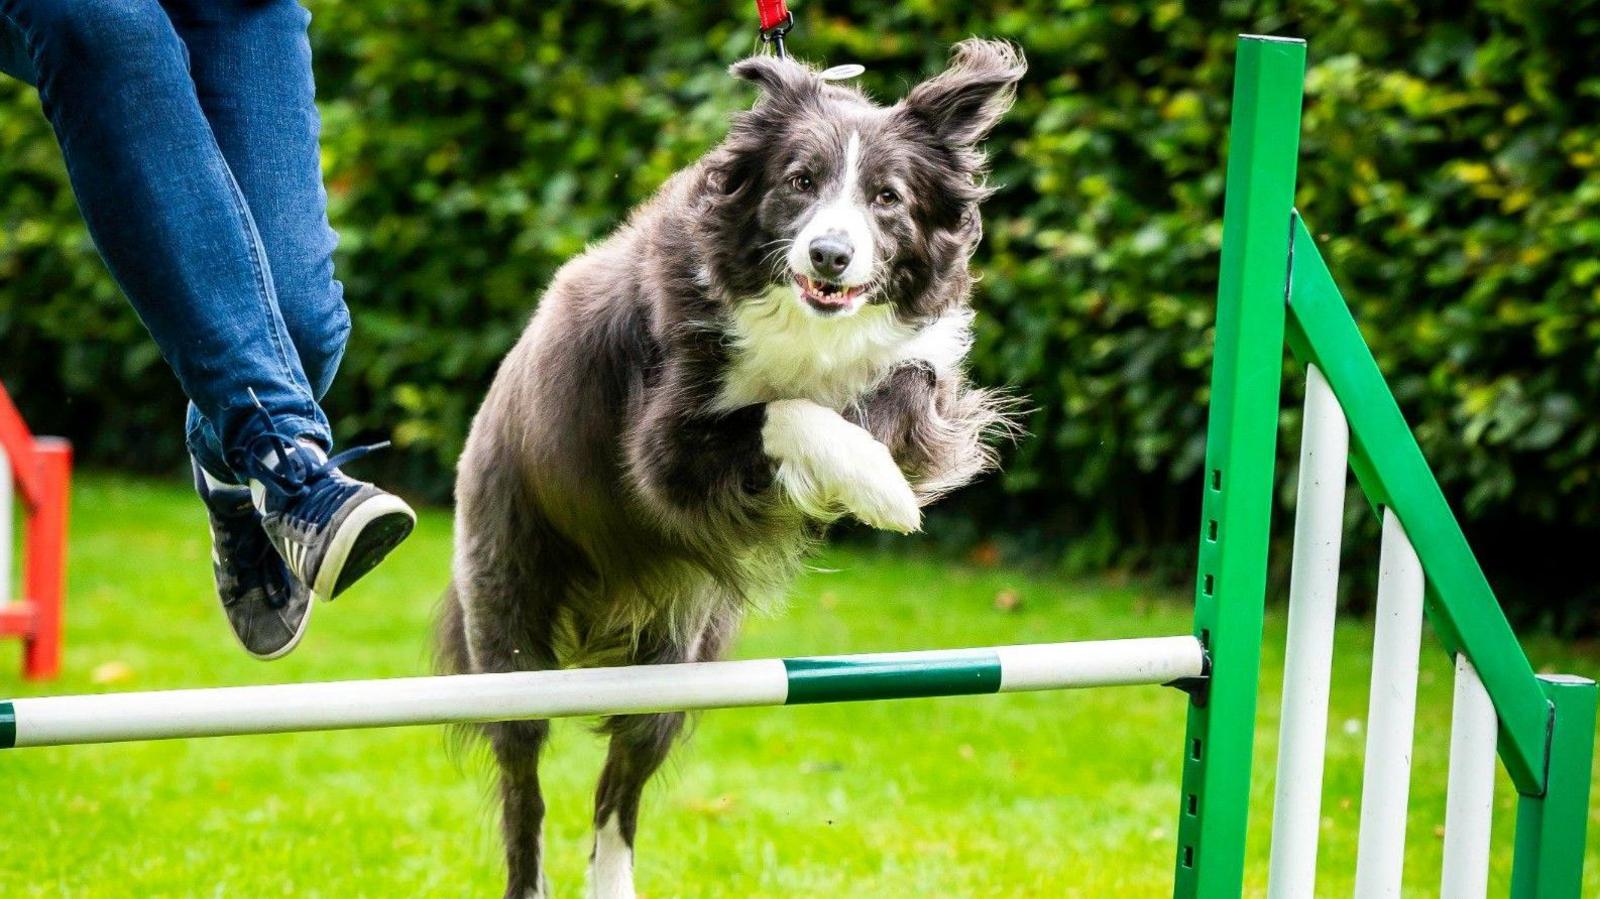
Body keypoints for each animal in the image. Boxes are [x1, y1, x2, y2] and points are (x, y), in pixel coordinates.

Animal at [441, 38, 1024, 889]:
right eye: (799, 181)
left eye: (887, 197)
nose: (830, 255)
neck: (802, 315)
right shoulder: (662, 447)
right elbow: (776, 411)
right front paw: (872, 482)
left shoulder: (911, 367)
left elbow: (906, 385)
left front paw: (876, 474)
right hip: (509, 616)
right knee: (526, 787)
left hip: (680, 658)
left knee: (620, 785)